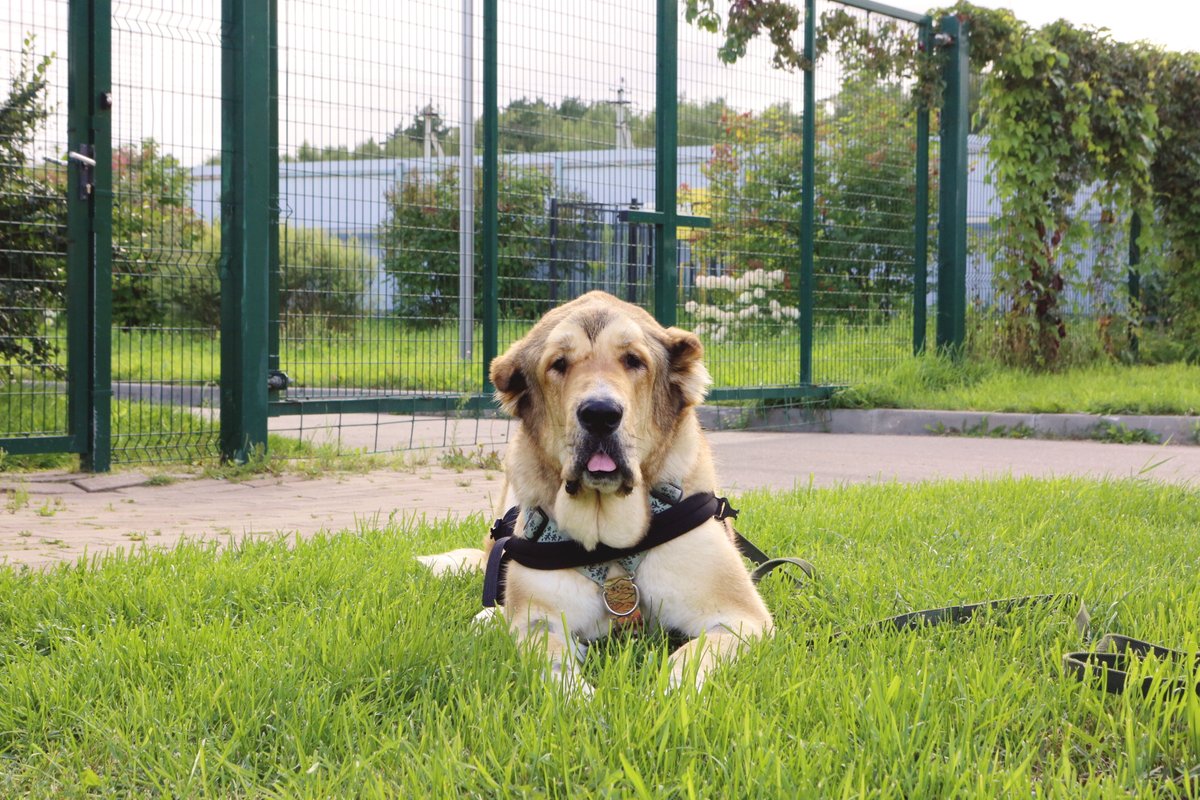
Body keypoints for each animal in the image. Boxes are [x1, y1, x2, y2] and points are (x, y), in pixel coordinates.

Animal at [419, 291, 772, 693]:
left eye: (633, 360)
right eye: (558, 364)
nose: (600, 413)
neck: (611, 541)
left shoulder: (741, 618)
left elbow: (691, 659)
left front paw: (659, 696)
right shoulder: (539, 623)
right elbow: (554, 666)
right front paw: (582, 701)